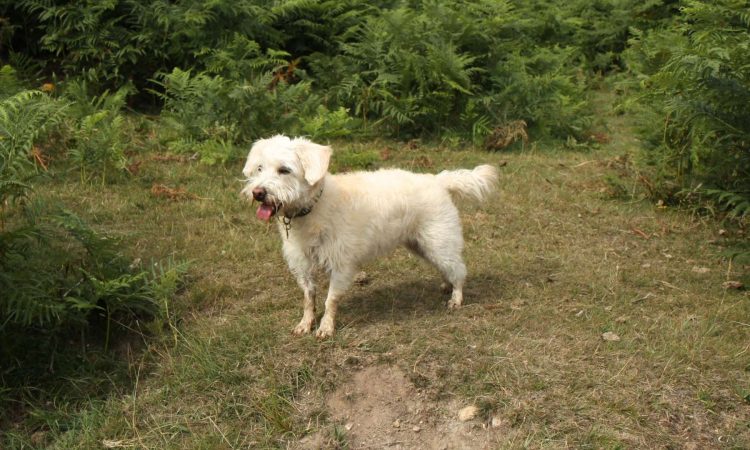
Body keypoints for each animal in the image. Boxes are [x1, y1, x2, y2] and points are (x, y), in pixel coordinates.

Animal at [242, 135, 500, 340]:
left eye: (284, 170)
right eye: (259, 169)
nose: (258, 193)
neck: (313, 208)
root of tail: (437, 180)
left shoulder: (342, 266)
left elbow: (330, 300)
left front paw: (326, 328)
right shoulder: (303, 265)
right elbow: (309, 298)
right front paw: (306, 324)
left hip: (439, 243)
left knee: (459, 270)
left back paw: (456, 297)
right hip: (422, 246)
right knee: (448, 268)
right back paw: (446, 285)